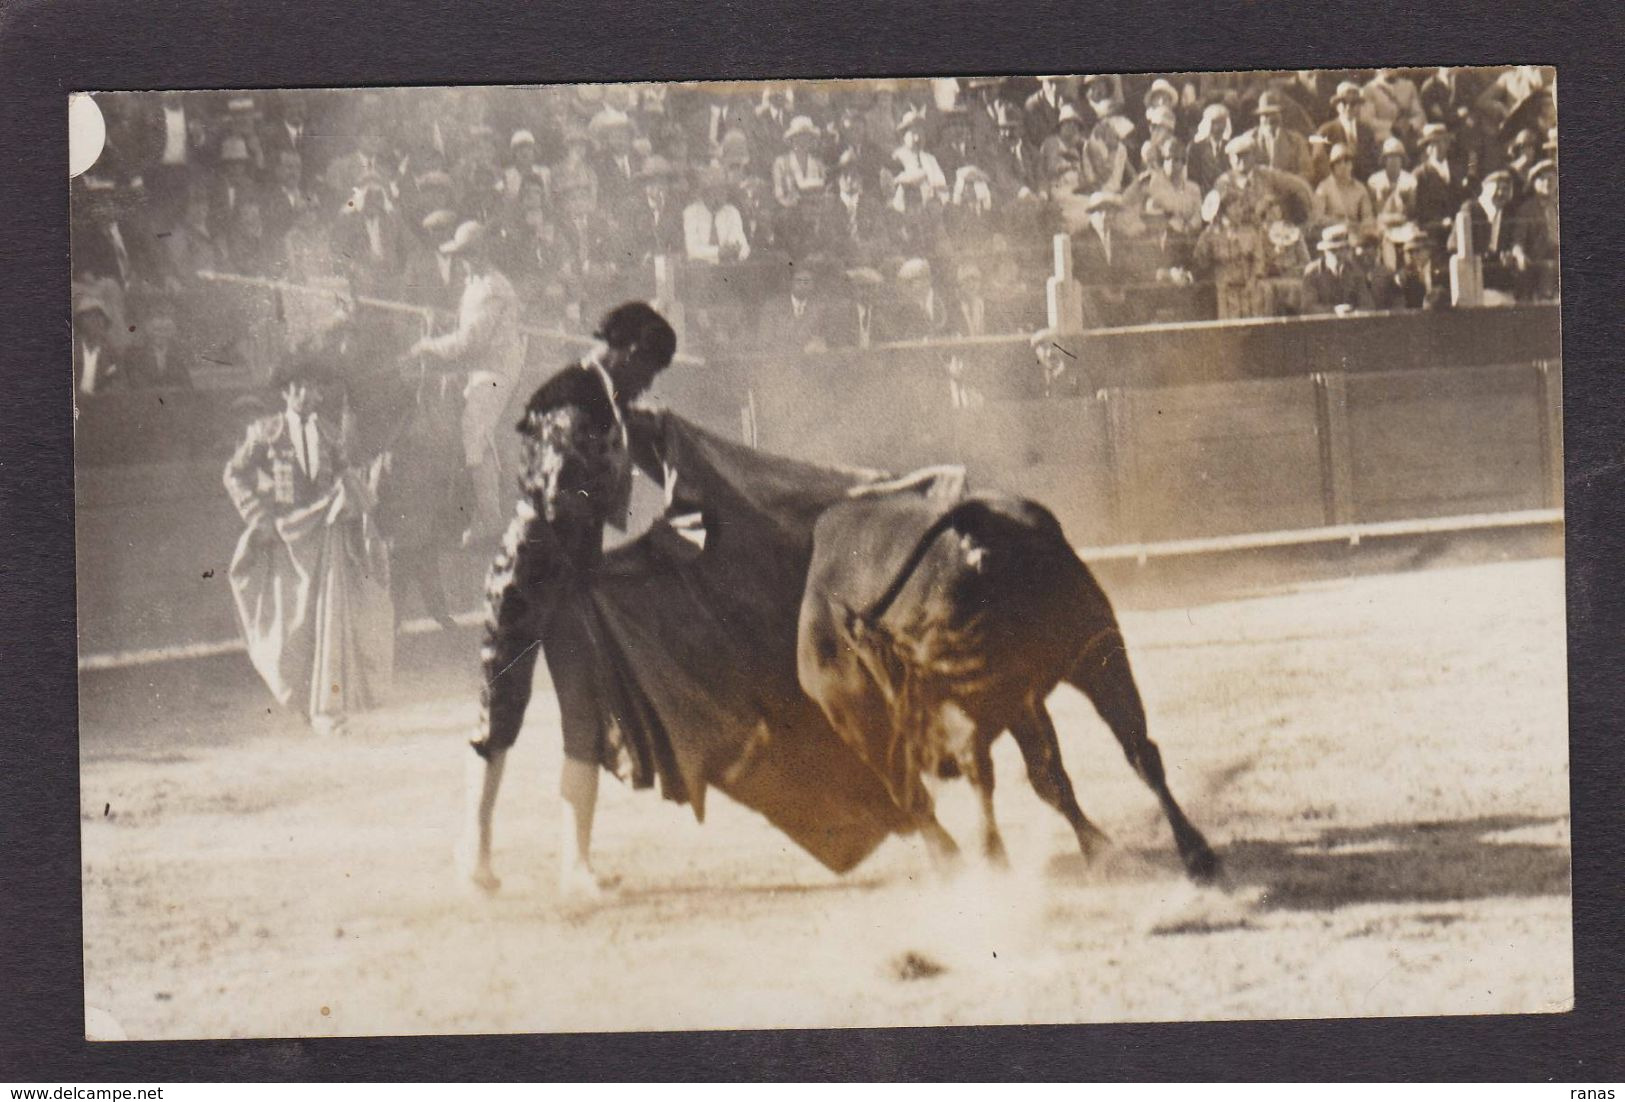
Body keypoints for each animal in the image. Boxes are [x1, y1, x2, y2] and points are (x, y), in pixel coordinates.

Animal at [799, 497, 1222, 884]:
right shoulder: (1025, 698)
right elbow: (1049, 777)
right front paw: (1101, 852)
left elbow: (923, 796)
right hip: (1095, 652)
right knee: (1137, 748)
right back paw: (1193, 853)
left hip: (966, 701)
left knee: (965, 780)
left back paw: (988, 865)